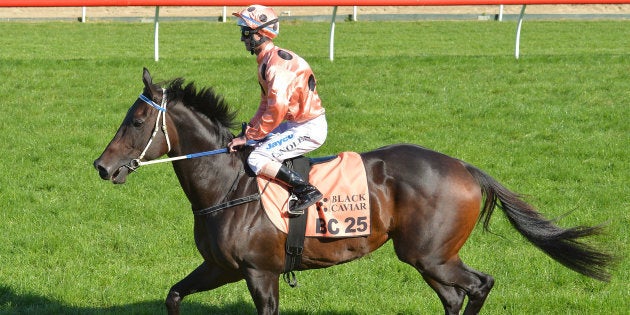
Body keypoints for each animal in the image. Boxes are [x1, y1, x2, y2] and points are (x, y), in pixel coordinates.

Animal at [91, 69, 616, 315]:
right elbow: (174, 295)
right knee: (454, 297)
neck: (227, 186)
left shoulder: (260, 272)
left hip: (430, 254)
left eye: (137, 120)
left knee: (479, 285)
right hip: (429, 257)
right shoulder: (221, 267)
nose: (102, 167)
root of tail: (465, 166)